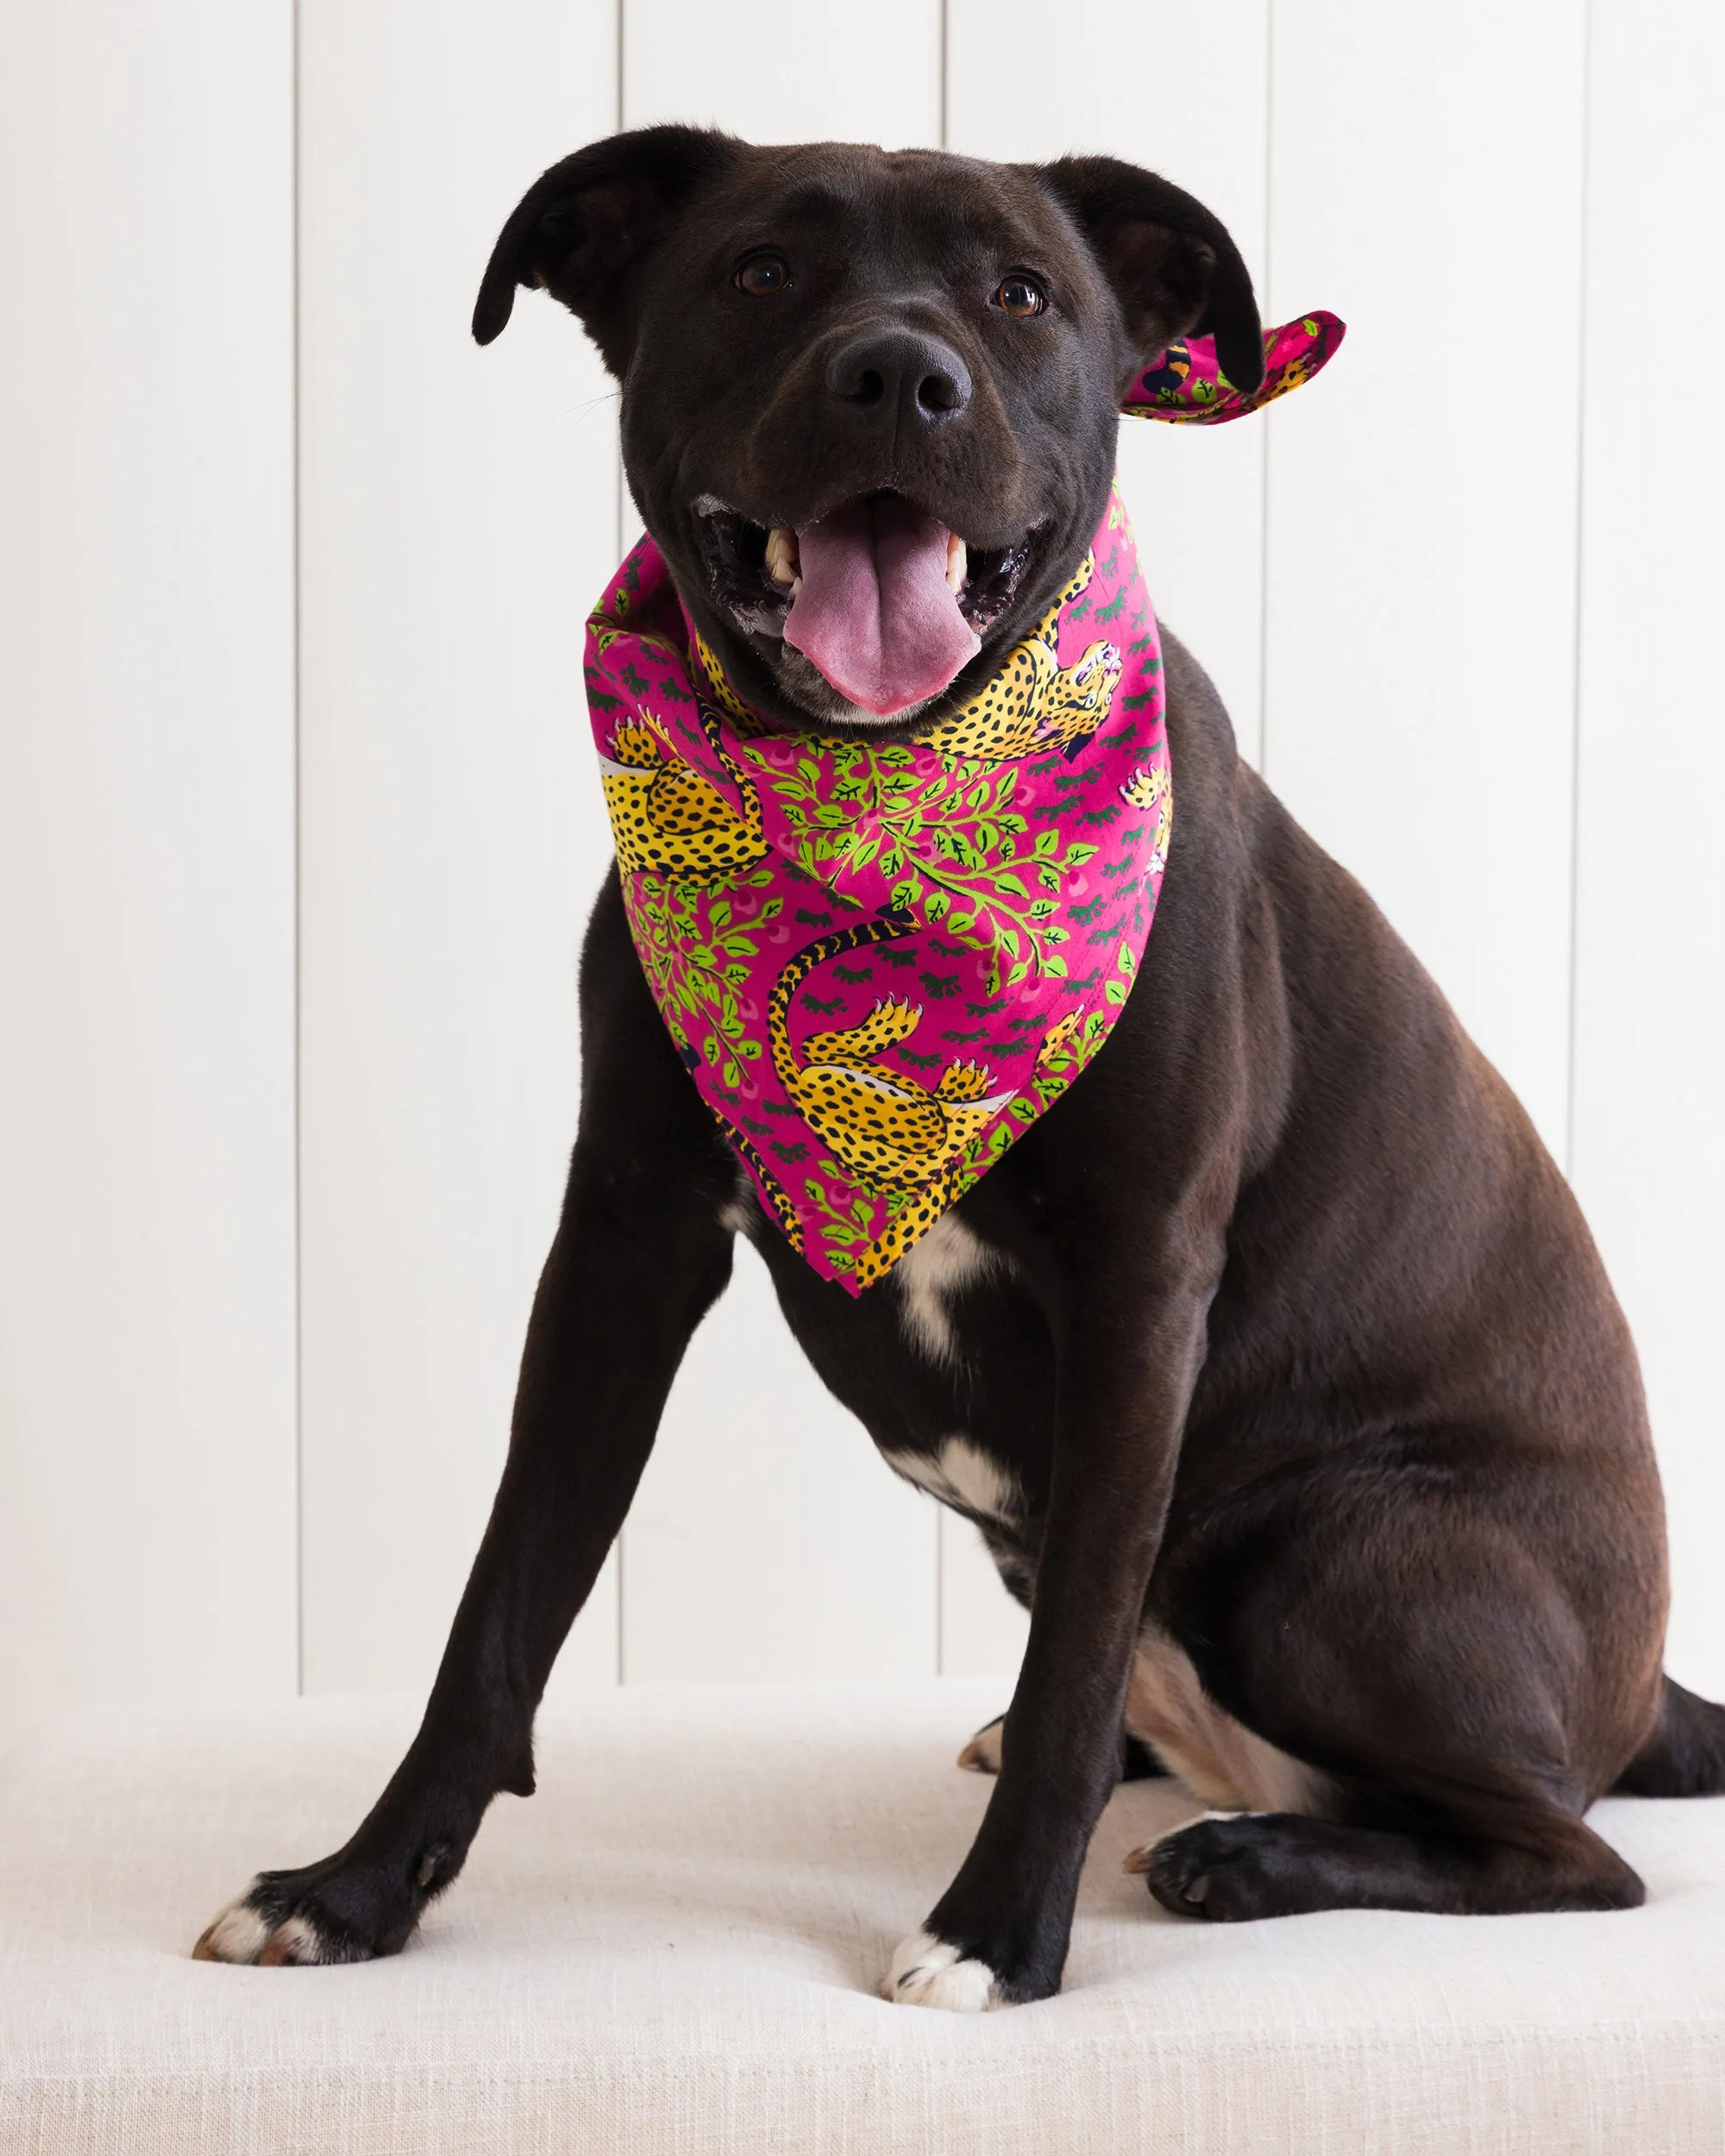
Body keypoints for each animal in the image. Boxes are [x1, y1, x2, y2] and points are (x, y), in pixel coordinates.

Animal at [195, 130, 1716, 2001]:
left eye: (1022, 292)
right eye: (761, 270)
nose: (899, 378)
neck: (885, 810)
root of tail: (1646, 1688)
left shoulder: (1143, 1280)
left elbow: (1074, 1658)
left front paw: (998, 1931)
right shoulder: (622, 1243)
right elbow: (498, 1613)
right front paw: (355, 1886)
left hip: (1333, 1549)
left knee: (1569, 1852)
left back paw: (1249, 1852)